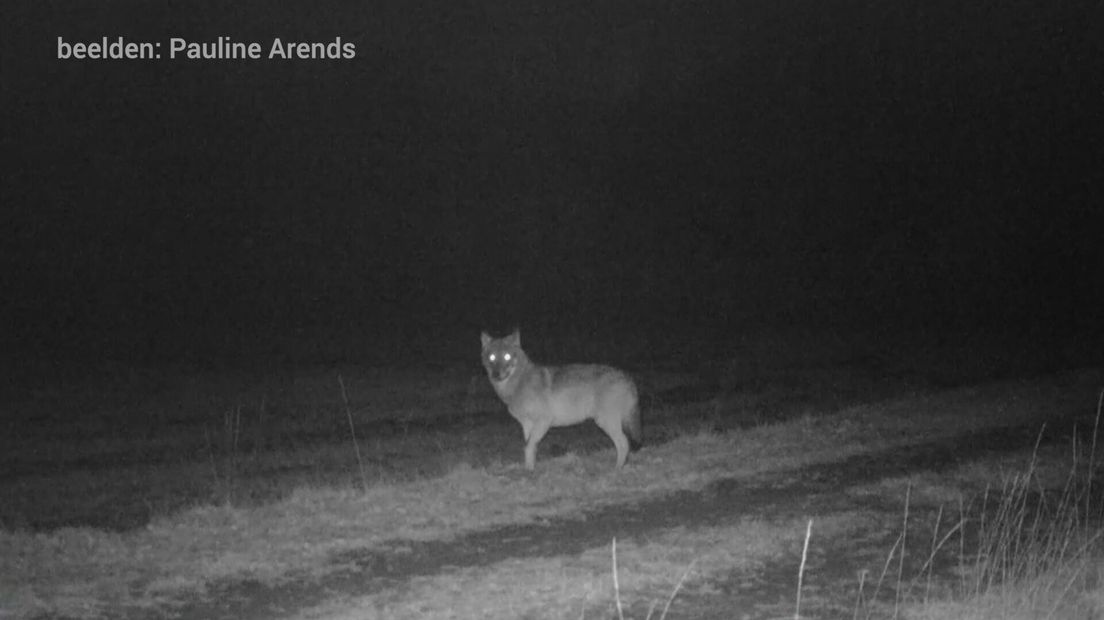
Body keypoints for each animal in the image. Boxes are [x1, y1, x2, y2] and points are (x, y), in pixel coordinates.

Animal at [479, 328, 644, 467]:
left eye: (507, 356)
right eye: (492, 357)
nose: (496, 374)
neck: (518, 383)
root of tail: (628, 377)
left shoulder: (544, 421)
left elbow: (528, 446)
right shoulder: (526, 425)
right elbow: (529, 447)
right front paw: (529, 470)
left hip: (605, 422)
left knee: (624, 444)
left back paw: (617, 470)